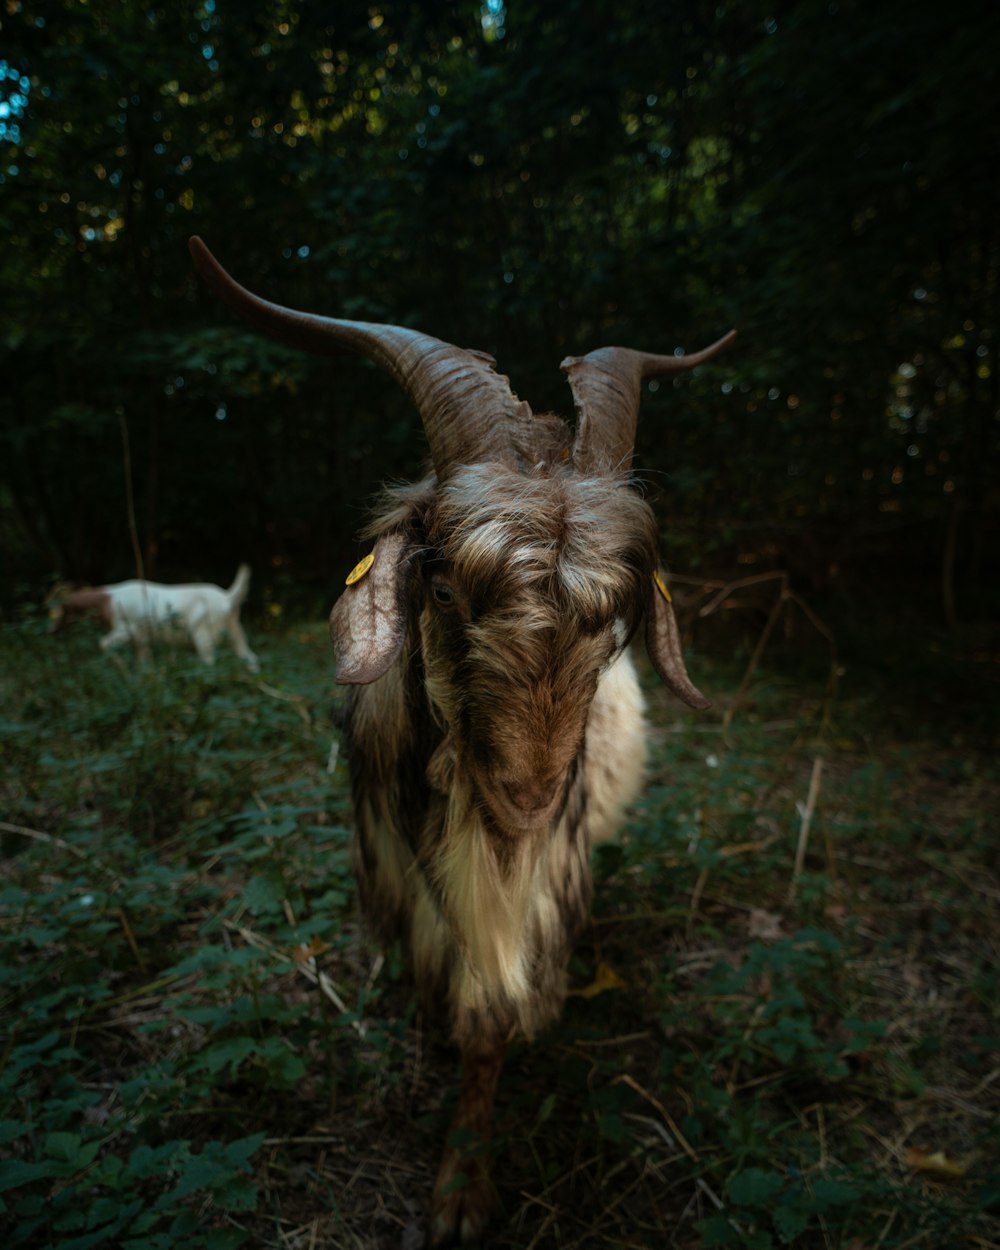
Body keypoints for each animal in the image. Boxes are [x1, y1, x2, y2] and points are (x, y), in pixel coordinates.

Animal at [48, 562, 260, 670]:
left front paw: (122, 667)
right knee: (250, 657)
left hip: (204, 634)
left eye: (56, 610)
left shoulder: (126, 630)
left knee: (210, 661)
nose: (51, 631)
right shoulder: (141, 641)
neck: (107, 600)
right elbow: (144, 664)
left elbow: (103, 644)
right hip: (234, 631)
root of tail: (228, 598)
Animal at [190, 235, 735, 1240]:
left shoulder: (546, 881)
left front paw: (460, 1189)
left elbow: (493, 1019)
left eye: (616, 622)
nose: (529, 793)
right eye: (443, 587)